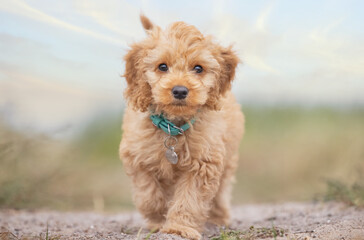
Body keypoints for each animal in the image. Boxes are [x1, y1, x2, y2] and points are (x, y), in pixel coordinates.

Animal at [120, 15, 245, 240]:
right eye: (162, 67)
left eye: (198, 68)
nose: (179, 90)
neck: (173, 127)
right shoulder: (136, 157)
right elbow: (148, 195)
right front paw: (158, 219)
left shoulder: (203, 164)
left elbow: (189, 199)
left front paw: (178, 227)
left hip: (228, 158)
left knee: (221, 191)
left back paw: (218, 218)